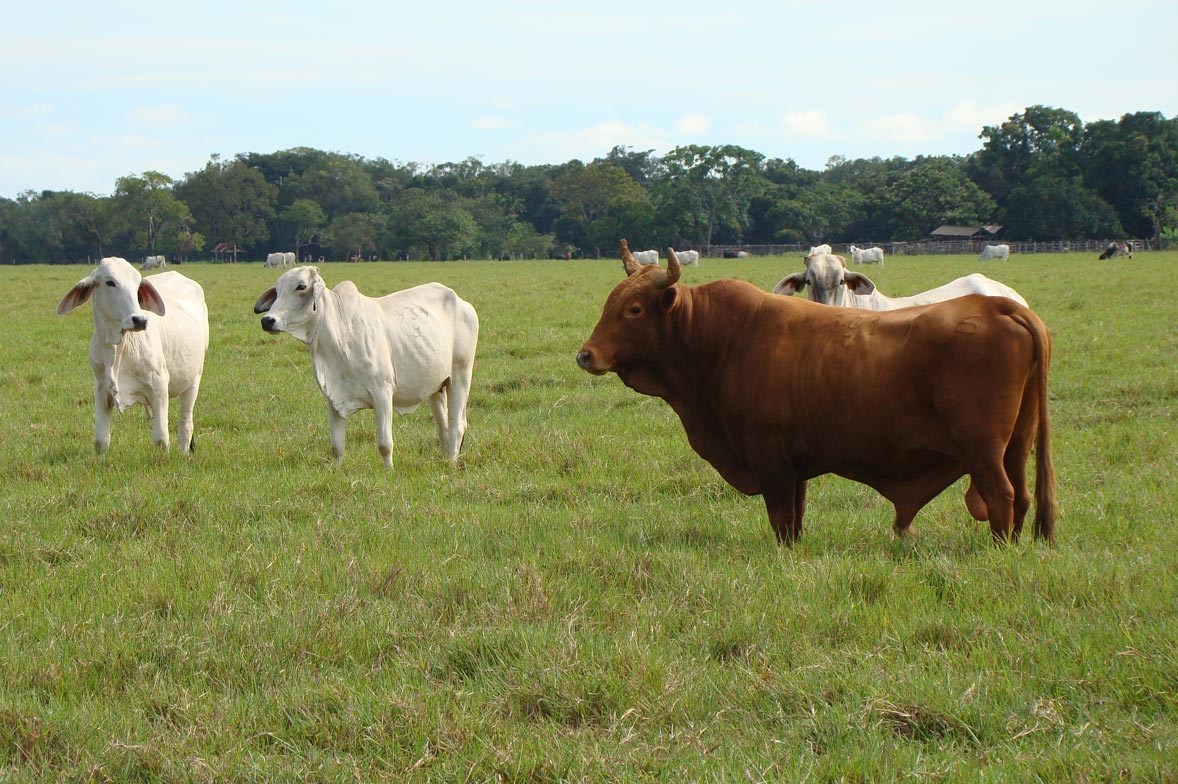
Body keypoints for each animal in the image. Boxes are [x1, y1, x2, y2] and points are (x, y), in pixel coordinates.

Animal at [56, 257, 209, 454]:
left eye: (137, 286)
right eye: (110, 282)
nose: (140, 320)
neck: (118, 348)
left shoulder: (159, 386)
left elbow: (161, 439)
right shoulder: (101, 388)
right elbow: (100, 441)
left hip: (194, 379)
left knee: (186, 423)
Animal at [253, 266, 479, 467]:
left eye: (301, 286)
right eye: (277, 289)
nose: (267, 320)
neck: (338, 332)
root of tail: (461, 302)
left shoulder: (383, 393)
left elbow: (385, 444)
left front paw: (389, 472)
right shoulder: (333, 398)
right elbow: (337, 446)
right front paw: (337, 470)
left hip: (461, 374)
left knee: (457, 425)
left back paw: (451, 464)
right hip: (436, 386)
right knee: (443, 427)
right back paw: (445, 460)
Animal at [576, 240, 1056, 546]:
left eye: (634, 309)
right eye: (610, 301)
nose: (586, 355)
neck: (719, 338)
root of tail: (999, 305)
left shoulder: (769, 457)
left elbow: (781, 520)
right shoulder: (795, 465)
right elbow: (796, 518)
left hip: (983, 451)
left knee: (1003, 496)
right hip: (1016, 446)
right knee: (1022, 495)